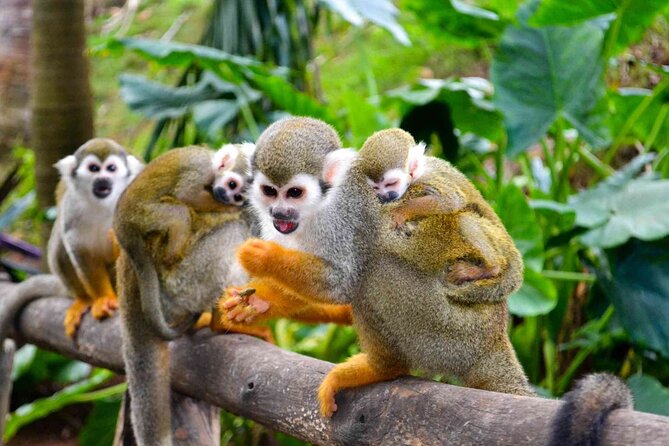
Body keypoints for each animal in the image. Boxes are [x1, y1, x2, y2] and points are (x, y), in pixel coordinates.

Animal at [45, 138, 144, 337]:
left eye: (111, 168)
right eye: (94, 169)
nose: (102, 179)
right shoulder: (71, 208)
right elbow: (81, 252)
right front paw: (104, 298)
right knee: (60, 244)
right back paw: (83, 299)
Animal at [221, 117, 534, 419]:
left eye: (294, 193)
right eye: (269, 191)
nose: (279, 213)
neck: (320, 206)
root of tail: (494, 340)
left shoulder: (345, 217)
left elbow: (341, 283)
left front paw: (264, 257)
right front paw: (255, 303)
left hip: (447, 333)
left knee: (373, 271)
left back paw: (383, 367)